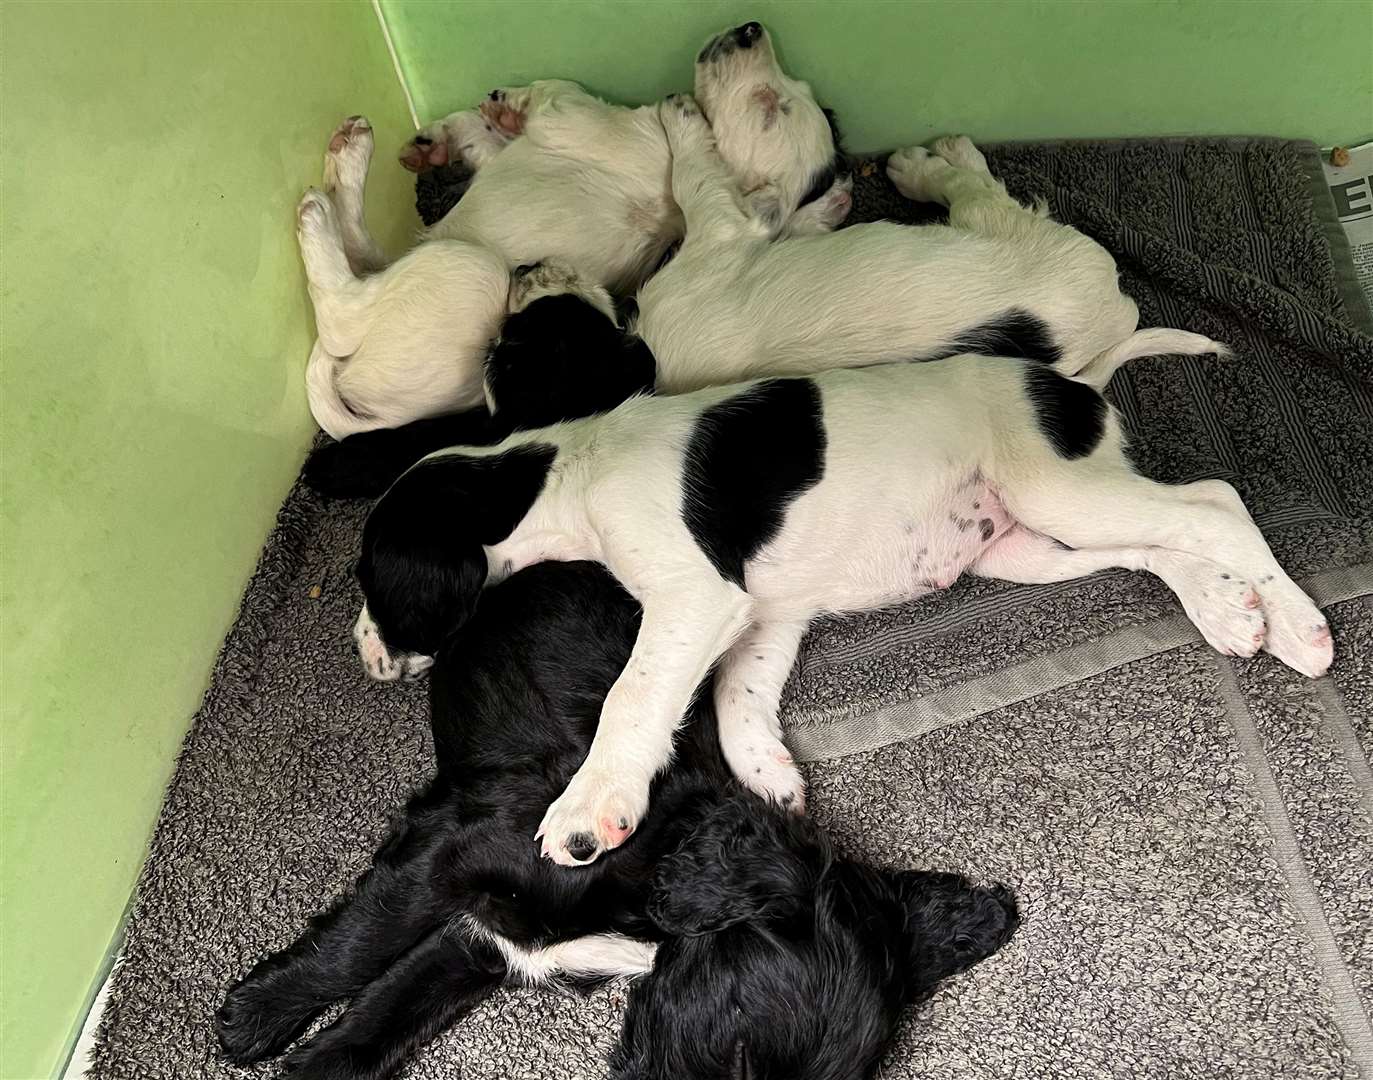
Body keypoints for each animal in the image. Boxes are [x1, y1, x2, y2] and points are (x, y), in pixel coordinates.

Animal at [216, 565, 1021, 1080]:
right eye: (738, 1058)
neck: (658, 867)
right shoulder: (453, 850)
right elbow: (356, 949)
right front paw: (256, 1015)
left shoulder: (485, 938)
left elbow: (383, 1017)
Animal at [348, 354, 1334, 872]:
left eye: (371, 583)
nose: (361, 656)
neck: (557, 472)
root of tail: (1064, 379)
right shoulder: (761, 615)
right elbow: (733, 701)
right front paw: (769, 777)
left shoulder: (696, 595)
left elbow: (635, 698)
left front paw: (594, 805)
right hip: (1023, 543)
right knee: (1163, 541)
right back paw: (1229, 610)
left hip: (1058, 491)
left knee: (1214, 502)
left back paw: (1295, 624)